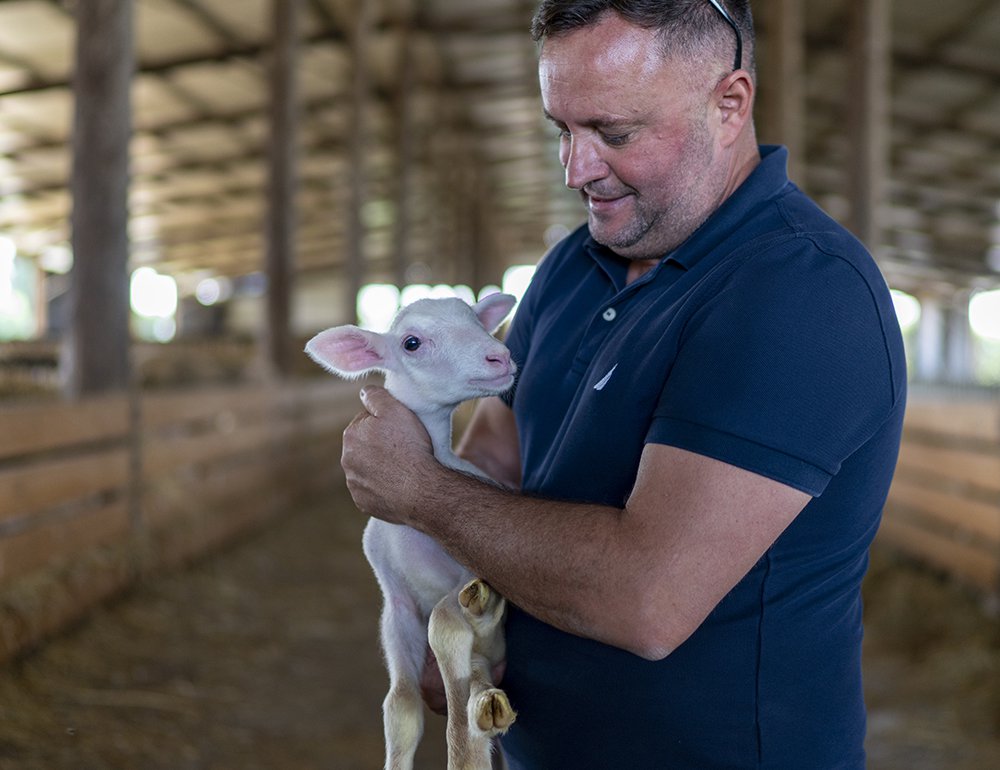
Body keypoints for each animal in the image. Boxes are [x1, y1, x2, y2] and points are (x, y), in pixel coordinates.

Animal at [306, 292, 520, 768]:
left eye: (476, 320)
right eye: (412, 343)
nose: (500, 356)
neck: (412, 535)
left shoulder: (471, 572)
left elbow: (443, 623)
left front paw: (462, 750)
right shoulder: (396, 601)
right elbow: (400, 706)